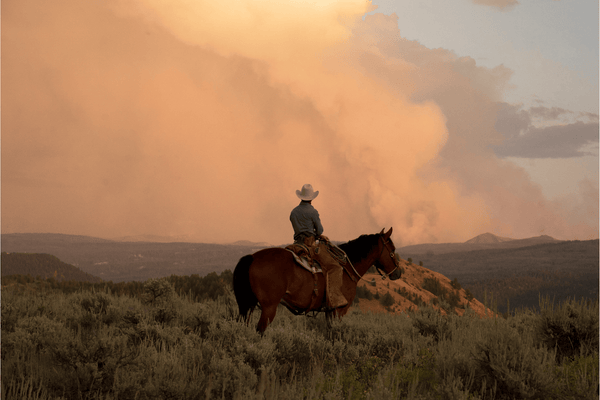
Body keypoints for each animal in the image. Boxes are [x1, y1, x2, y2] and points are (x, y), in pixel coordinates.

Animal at [233, 227, 404, 332]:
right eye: (392, 250)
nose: (398, 273)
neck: (347, 267)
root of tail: (252, 257)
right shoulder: (340, 310)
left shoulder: (329, 311)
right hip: (269, 307)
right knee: (260, 330)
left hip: (249, 305)